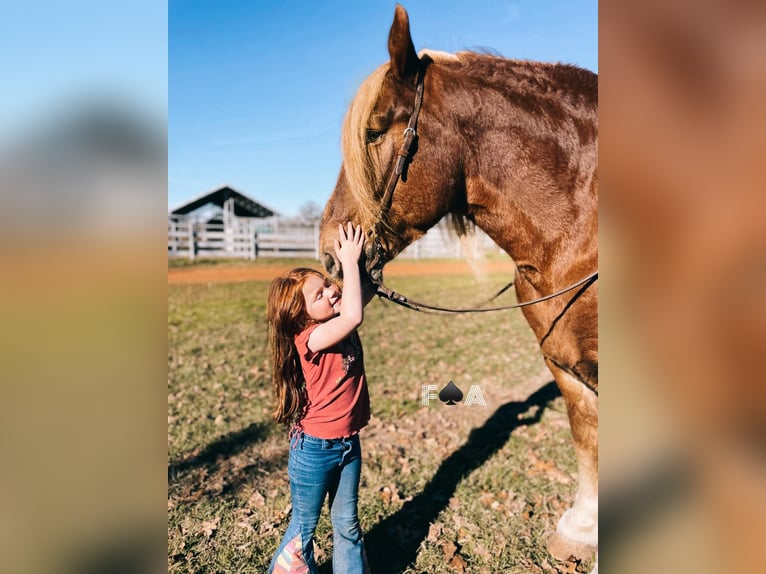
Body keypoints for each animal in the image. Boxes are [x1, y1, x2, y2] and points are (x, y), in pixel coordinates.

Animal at [318, 4, 600, 572]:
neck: (577, 233)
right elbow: (587, 435)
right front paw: (583, 530)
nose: (329, 253)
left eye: (375, 132)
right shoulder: (564, 365)